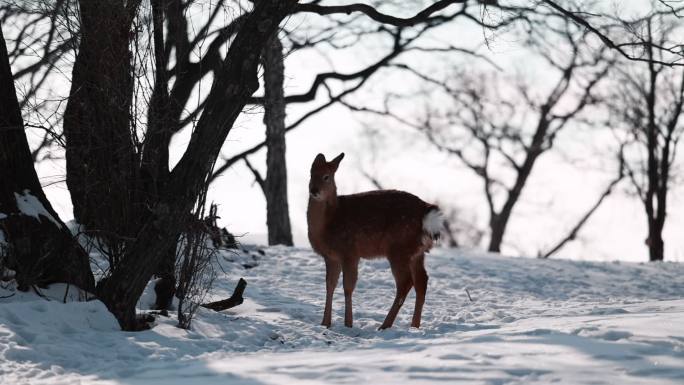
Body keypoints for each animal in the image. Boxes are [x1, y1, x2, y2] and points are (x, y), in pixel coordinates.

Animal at [306, 152, 444, 328]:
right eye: (311, 174)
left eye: (327, 177)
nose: (314, 190)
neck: (329, 222)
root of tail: (426, 212)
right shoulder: (330, 256)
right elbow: (329, 285)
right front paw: (325, 323)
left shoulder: (349, 251)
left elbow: (348, 287)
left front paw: (348, 323)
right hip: (417, 252)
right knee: (422, 281)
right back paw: (414, 325)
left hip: (398, 248)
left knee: (406, 282)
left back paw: (385, 325)